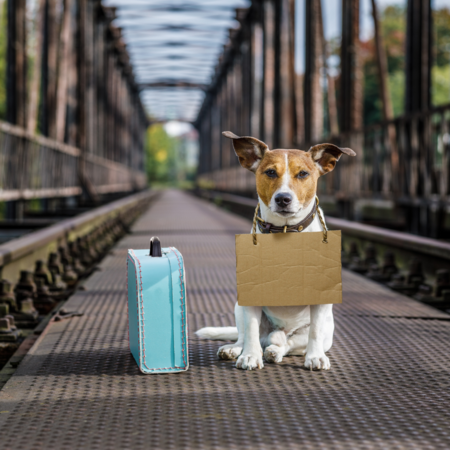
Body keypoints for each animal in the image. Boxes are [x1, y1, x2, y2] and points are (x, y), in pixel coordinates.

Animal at [196, 132, 356, 370]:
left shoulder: (320, 304)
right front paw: (250, 356)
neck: (285, 232)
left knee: (289, 344)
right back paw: (235, 349)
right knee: (246, 335)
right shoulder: (251, 296)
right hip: (239, 307)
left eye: (303, 174)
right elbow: (251, 330)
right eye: (271, 172)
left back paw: (275, 351)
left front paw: (315, 357)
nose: (283, 199)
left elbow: (314, 332)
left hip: (323, 331)